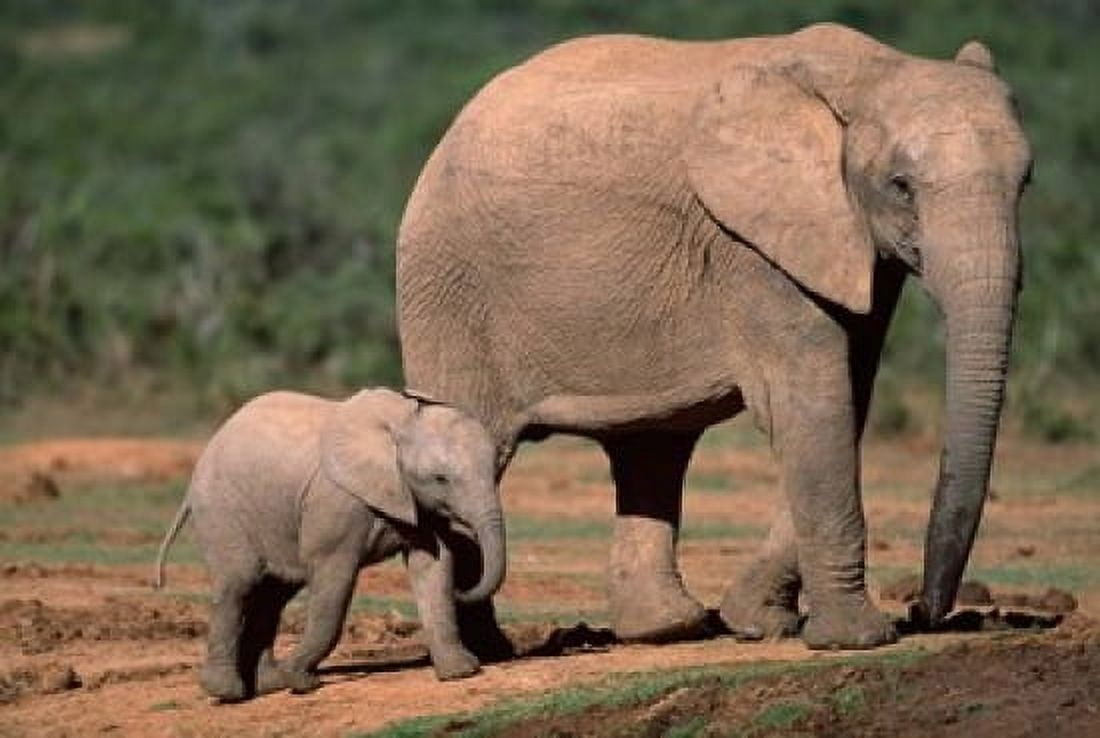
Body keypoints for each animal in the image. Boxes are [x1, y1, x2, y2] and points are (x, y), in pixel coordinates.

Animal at [153, 388, 504, 701]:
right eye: (441, 479)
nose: (465, 586)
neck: (398, 421)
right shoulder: (338, 501)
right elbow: (335, 580)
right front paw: (302, 682)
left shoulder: (414, 499)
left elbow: (434, 565)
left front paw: (461, 673)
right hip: (222, 511)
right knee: (238, 584)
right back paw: (228, 693)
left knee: (274, 592)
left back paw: (269, 686)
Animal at [396, 23, 1031, 649]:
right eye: (901, 186)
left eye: (1026, 182)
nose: (927, 613)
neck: (871, 69)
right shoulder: (752, 245)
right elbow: (811, 403)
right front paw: (858, 640)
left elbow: (847, 395)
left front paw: (759, 623)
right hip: (450, 287)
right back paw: (488, 651)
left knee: (652, 447)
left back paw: (667, 627)